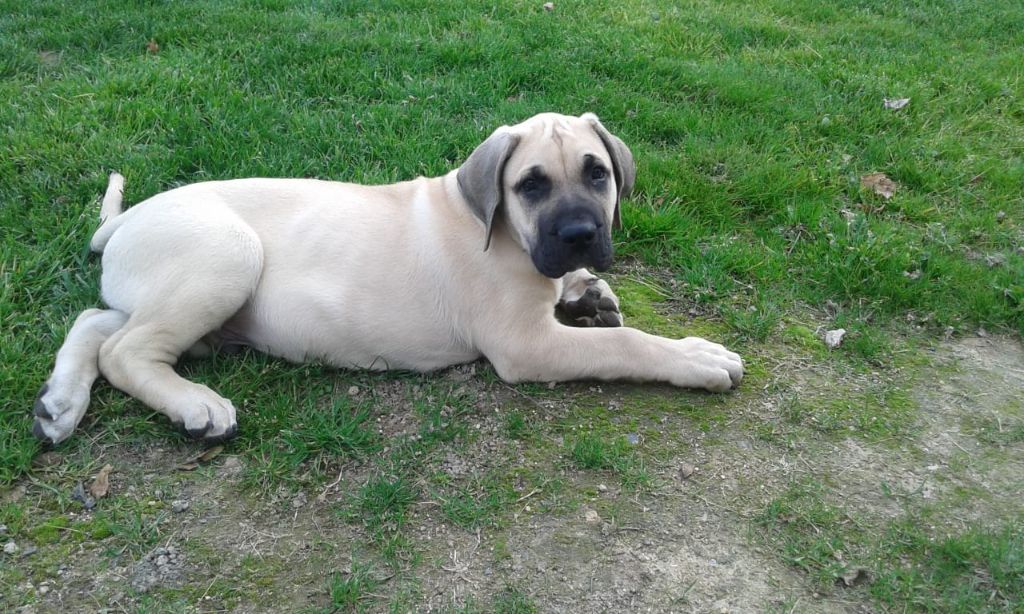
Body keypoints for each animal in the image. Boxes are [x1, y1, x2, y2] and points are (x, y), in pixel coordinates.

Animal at [33, 113, 743, 445]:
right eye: (531, 185)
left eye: (598, 174)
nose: (578, 235)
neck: (501, 229)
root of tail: (128, 220)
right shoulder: (526, 346)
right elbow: (626, 343)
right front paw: (696, 357)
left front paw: (589, 289)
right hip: (226, 257)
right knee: (124, 350)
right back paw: (197, 407)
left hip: (181, 296)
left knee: (96, 322)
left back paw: (59, 406)